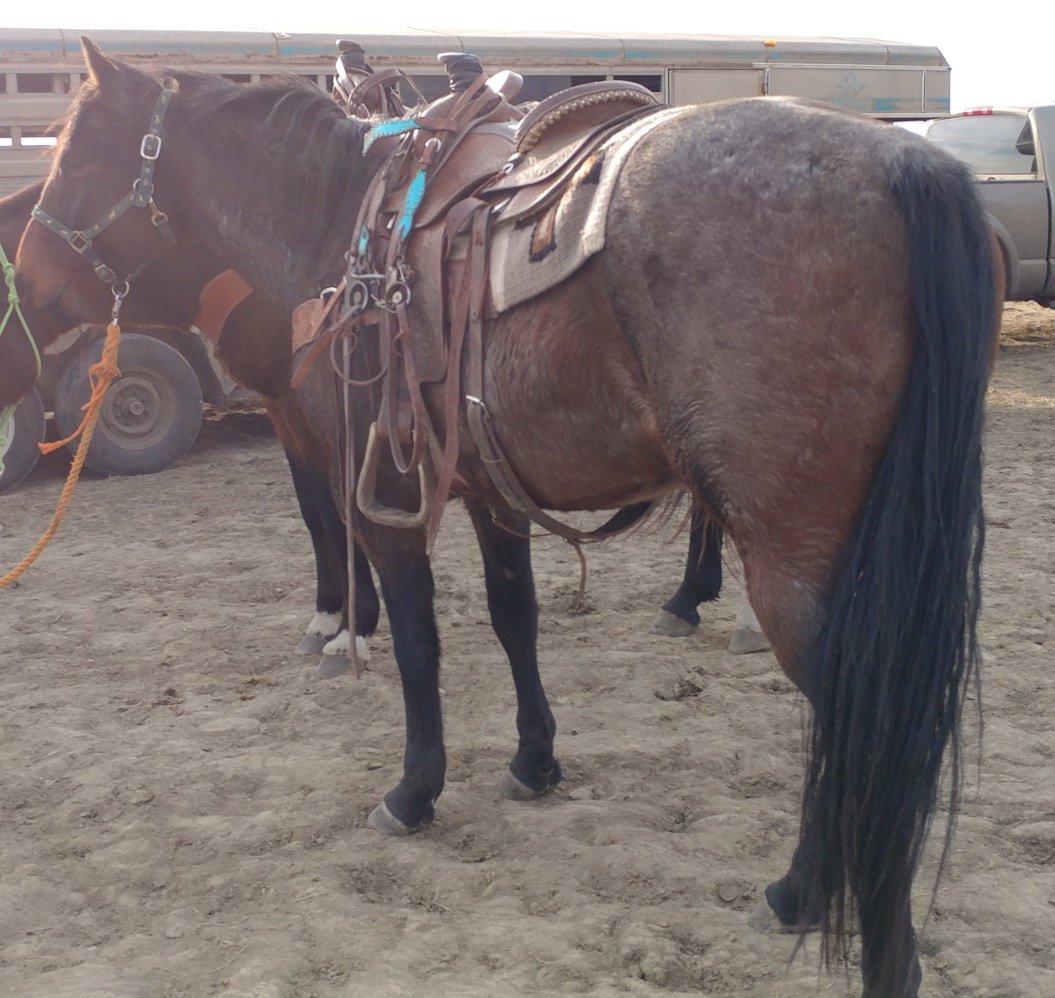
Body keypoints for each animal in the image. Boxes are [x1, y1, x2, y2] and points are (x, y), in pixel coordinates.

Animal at [14, 42, 1004, 991]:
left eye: (77, 159)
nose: (26, 287)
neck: (337, 230)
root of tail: (907, 165)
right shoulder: (492, 490)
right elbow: (512, 617)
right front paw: (534, 762)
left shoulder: (385, 494)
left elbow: (417, 641)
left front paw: (413, 790)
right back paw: (801, 887)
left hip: (793, 557)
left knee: (863, 717)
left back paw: (861, 935)